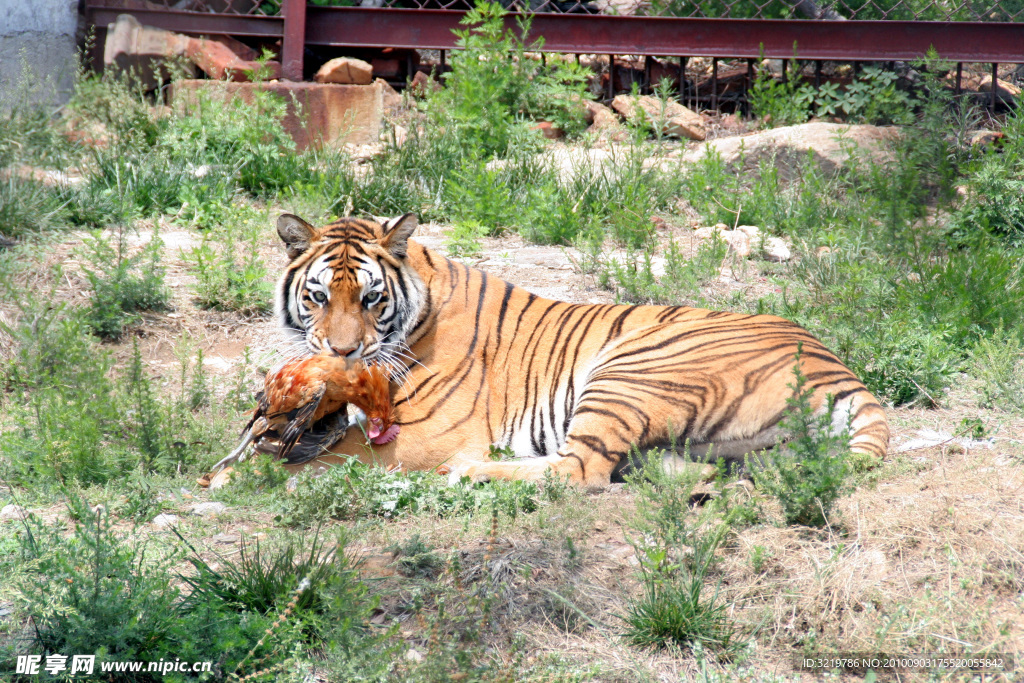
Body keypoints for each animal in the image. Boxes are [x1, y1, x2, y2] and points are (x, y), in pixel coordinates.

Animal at [214, 210, 880, 489]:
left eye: (372, 298)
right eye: (319, 296)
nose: (344, 354)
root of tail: (839, 368)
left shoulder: (421, 434)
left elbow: (320, 458)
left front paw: (237, 477)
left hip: (629, 370)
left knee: (580, 470)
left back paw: (474, 472)